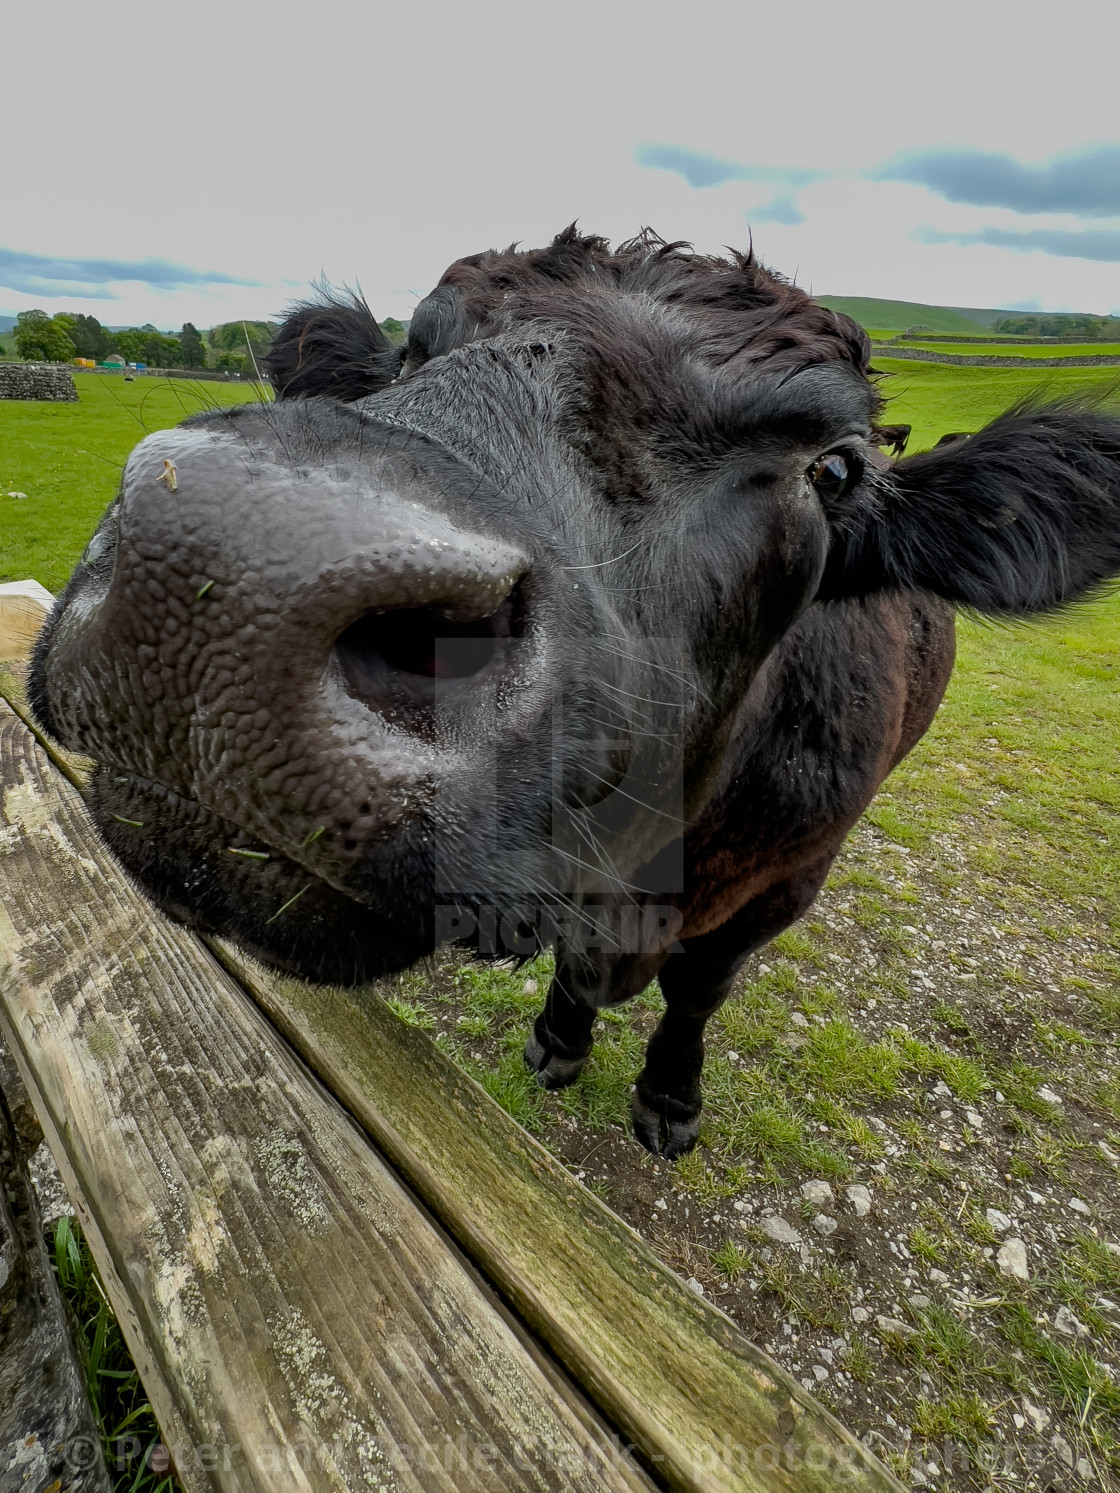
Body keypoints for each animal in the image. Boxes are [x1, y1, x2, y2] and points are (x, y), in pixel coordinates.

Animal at [30, 226, 1120, 1152]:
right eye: (409, 355)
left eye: (835, 469)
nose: (229, 564)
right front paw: (560, 1037)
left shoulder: (784, 883)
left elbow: (698, 989)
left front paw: (670, 1095)